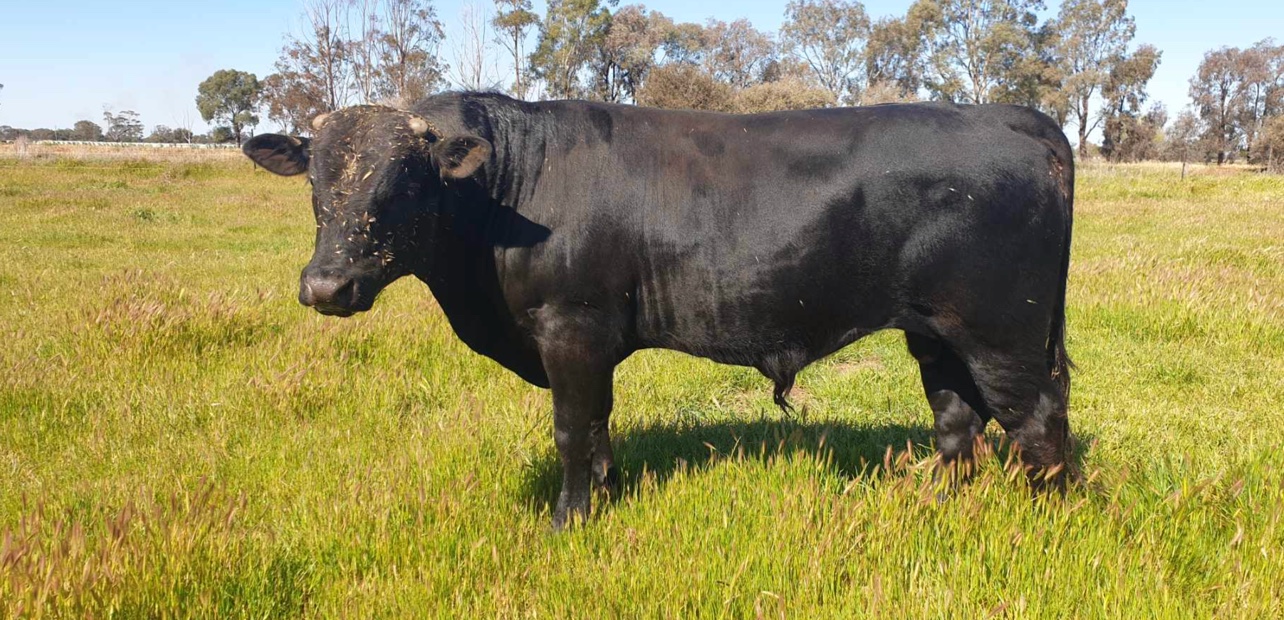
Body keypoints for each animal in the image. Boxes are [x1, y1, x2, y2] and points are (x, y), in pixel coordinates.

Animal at [242, 92, 1074, 529]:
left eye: (406, 182)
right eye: (315, 183)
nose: (325, 288)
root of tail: (1011, 115)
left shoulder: (570, 327)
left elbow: (570, 429)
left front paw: (567, 520)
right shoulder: (591, 341)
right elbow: (599, 424)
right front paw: (607, 495)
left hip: (1004, 334)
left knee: (1038, 425)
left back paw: (1047, 528)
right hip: (937, 333)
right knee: (957, 420)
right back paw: (940, 508)